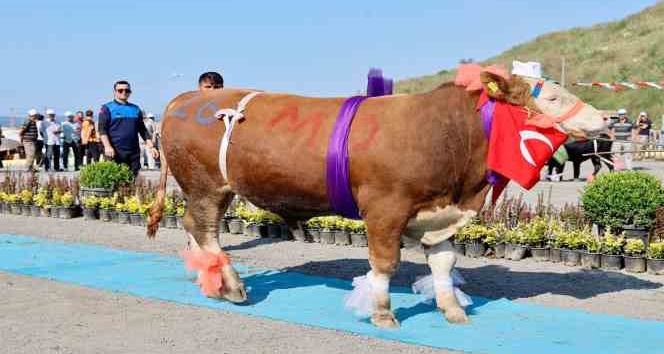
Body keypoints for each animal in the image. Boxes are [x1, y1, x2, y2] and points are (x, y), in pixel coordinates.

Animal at [149, 70, 608, 330]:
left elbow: (444, 263)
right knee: (203, 230)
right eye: (552, 97)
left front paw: (452, 310)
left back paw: (211, 282)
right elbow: (385, 264)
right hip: (205, 187)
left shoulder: (440, 212)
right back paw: (231, 285)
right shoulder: (386, 209)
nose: (605, 118)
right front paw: (383, 313)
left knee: (197, 231)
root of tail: (186, 98)